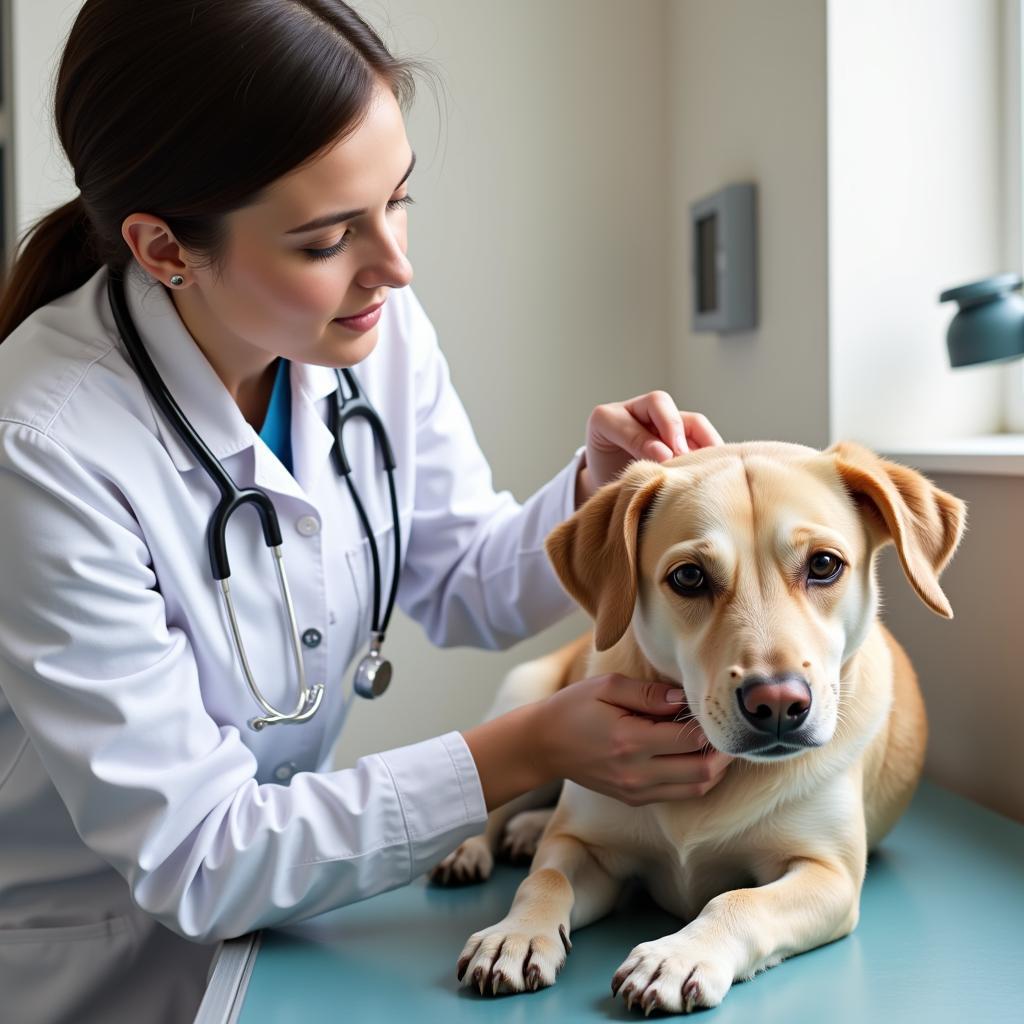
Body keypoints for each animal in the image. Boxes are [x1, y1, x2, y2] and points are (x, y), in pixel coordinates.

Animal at [444, 440, 962, 1015]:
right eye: (689, 577)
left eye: (824, 565)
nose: (777, 703)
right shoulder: (584, 846)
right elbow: (546, 879)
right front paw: (514, 934)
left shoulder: (828, 873)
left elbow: (738, 901)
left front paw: (678, 957)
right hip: (527, 700)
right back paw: (469, 848)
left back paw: (526, 831)